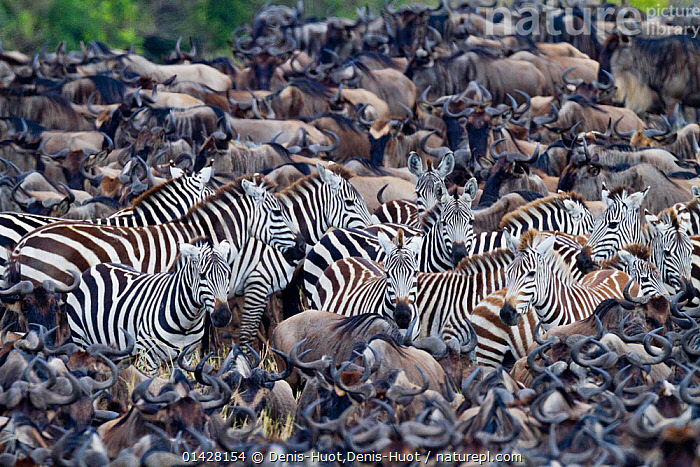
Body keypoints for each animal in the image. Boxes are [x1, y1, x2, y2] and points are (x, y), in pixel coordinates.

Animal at [66, 240, 232, 374]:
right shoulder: (147, 359)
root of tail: (95, 267)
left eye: (229, 275)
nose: (223, 316)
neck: (186, 323)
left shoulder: (185, 359)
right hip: (81, 339)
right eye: (202, 275)